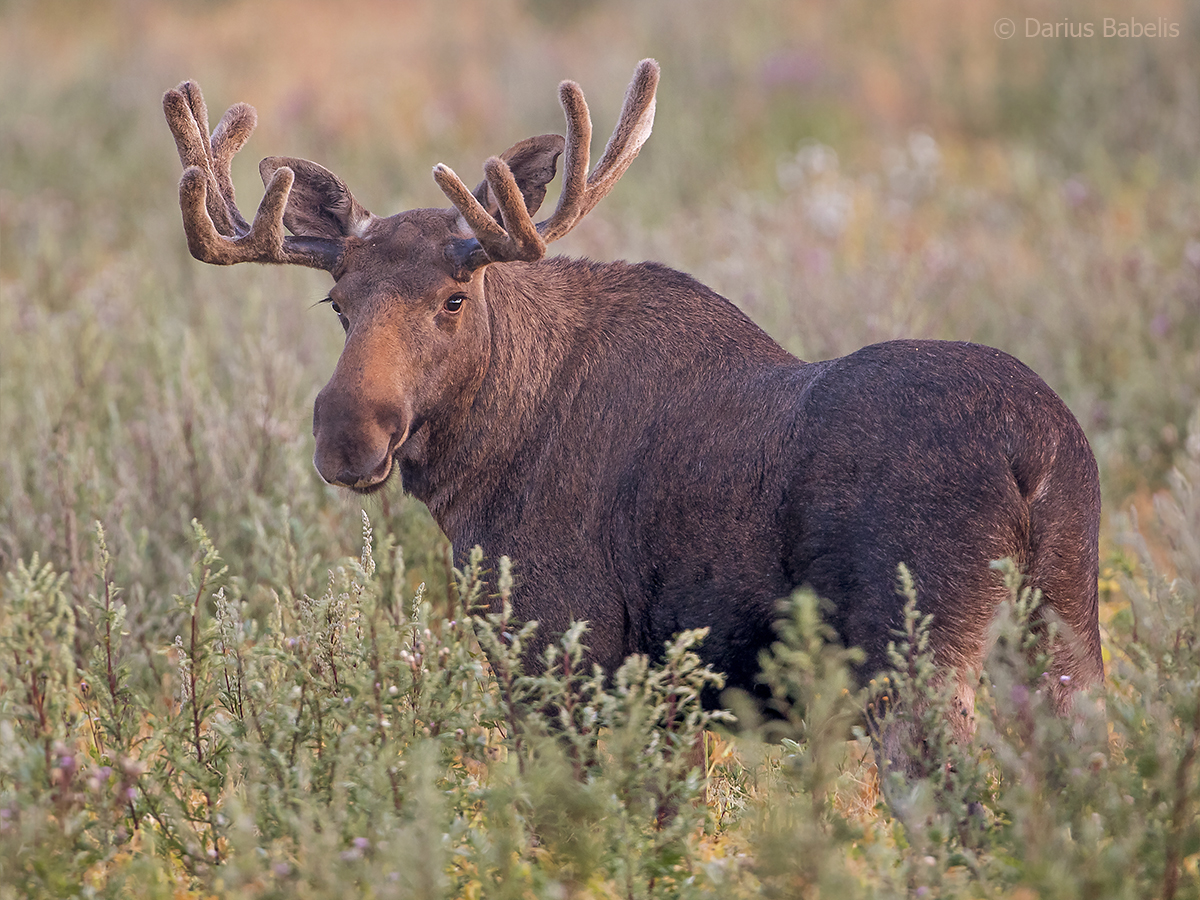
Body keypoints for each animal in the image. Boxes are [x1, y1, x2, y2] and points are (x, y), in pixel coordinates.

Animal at [164, 58, 1099, 763]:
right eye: (337, 303)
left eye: (454, 298)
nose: (347, 437)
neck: (480, 468)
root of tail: (1035, 451)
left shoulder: (561, 649)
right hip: (1065, 634)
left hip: (913, 659)